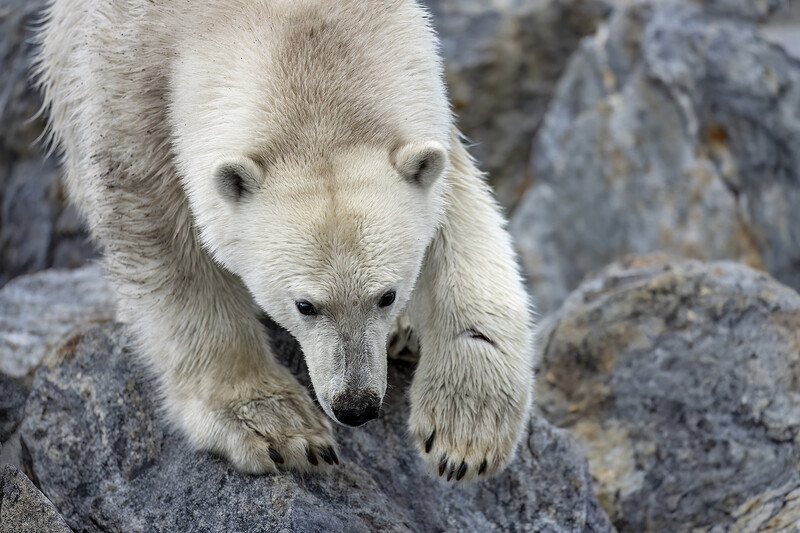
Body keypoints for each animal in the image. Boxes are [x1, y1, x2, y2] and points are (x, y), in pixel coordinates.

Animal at [35, 0, 535, 481]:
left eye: (387, 295)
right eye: (304, 305)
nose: (356, 406)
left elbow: (457, 214)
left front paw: (465, 430)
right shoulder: (123, 87)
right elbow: (163, 242)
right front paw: (276, 427)